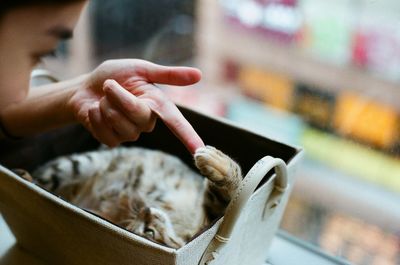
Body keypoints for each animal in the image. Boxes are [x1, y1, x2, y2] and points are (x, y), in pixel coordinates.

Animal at [32, 145, 242, 249]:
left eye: (149, 231)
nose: (145, 210)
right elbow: (224, 199)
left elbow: (228, 194)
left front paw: (217, 163)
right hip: (74, 166)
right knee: (38, 176)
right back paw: (27, 176)